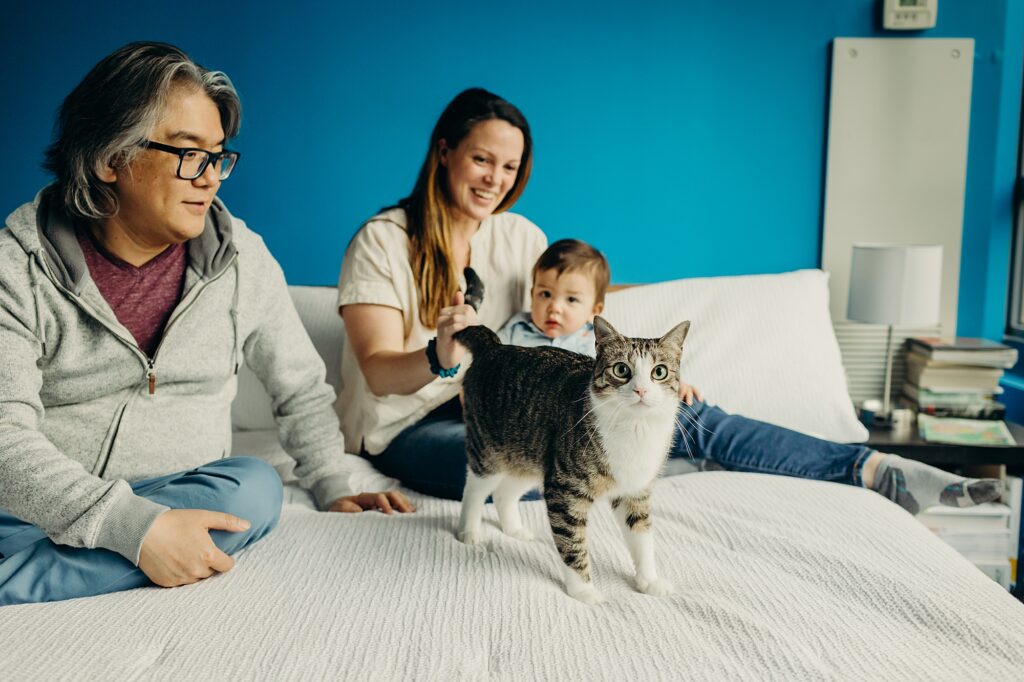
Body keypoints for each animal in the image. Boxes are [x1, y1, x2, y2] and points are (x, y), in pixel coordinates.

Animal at [454, 315, 688, 602]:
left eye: (659, 372)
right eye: (621, 370)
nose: (641, 390)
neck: (636, 428)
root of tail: (494, 347)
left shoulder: (636, 491)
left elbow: (642, 537)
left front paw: (649, 581)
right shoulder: (564, 489)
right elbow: (572, 542)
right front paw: (583, 590)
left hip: (532, 455)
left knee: (503, 493)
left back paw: (513, 529)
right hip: (489, 450)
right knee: (475, 488)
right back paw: (469, 530)